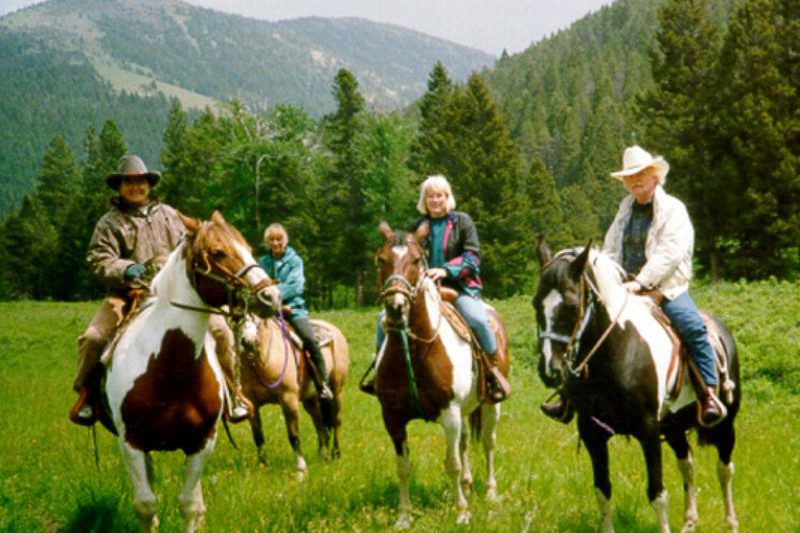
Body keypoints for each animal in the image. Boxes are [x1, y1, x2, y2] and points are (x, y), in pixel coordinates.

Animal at [103, 212, 280, 532]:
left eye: (248, 247)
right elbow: (146, 506)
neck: (170, 367)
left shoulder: (201, 442)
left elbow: (190, 505)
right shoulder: (131, 442)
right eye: (218, 252)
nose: (270, 297)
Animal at [236, 312, 352, 478]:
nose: (248, 342)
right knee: (319, 423)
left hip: (337, 393)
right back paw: (323, 456)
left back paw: (336, 455)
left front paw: (301, 470)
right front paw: (263, 466)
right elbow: (258, 438)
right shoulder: (252, 404)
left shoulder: (288, 401)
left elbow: (294, 436)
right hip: (310, 400)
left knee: (336, 422)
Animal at [374, 221, 510, 528]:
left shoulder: (449, 413)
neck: (414, 350)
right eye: (381, 260)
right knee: (466, 442)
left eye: (416, 260)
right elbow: (403, 466)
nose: (396, 308)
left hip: (489, 406)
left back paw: (490, 492)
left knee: (488, 443)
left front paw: (462, 513)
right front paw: (403, 517)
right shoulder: (393, 418)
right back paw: (469, 486)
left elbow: (452, 465)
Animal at [536, 238, 740, 532]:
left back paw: (731, 522)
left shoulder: (648, 431)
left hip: (725, 424)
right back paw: (689, 521)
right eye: (535, 304)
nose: (549, 369)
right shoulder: (592, 434)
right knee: (687, 464)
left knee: (724, 470)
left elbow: (657, 494)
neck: (619, 351)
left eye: (572, 305)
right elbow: (602, 490)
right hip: (675, 426)